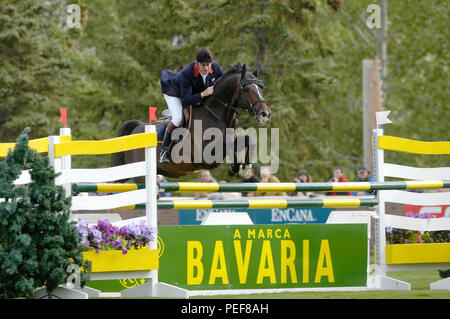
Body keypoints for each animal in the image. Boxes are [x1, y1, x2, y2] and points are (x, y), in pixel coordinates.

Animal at [111, 63, 270, 181]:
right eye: (247, 88)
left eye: (261, 88)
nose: (265, 114)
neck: (216, 113)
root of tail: (138, 127)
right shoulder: (206, 153)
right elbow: (229, 141)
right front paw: (235, 167)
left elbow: (248, 139)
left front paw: (243, 165)